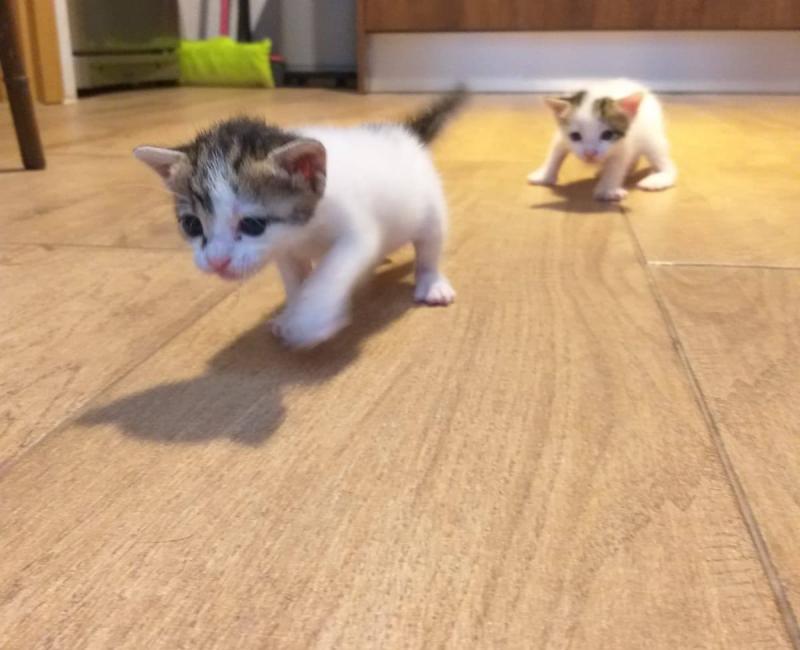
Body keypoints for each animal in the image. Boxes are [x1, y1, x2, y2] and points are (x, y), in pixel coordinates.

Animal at [134, 87, 467, 348]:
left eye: (252, 225)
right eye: (192, 225)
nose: (217, 262)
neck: (304, 229)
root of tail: (404, 134)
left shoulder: (358, 234)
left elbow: (331, 270)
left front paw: (311, 318)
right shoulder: (286, 250)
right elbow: (295, 280)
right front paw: (292, 313)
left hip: (430, 210)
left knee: (429, 247)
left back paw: (431, 283)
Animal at [527, 79, 676, 201]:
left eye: (607, 135)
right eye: (575, 136)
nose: (590, 154)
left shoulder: (624, 144)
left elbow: (616, 165)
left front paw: (607, 191)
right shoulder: (562, 137)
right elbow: (555, 153)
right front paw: (544, 176)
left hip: (652, 136)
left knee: (666, 163)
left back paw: (659, 179)